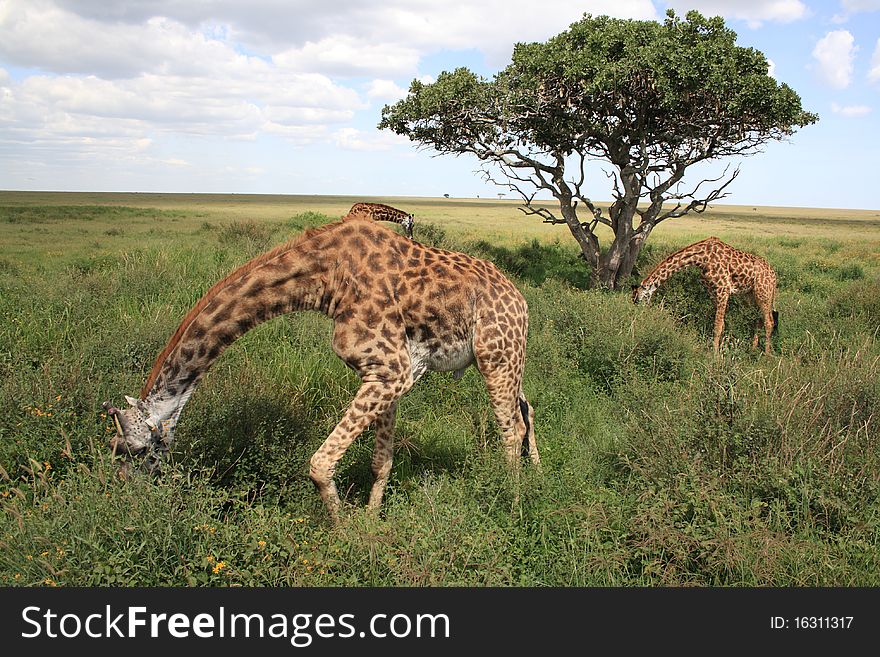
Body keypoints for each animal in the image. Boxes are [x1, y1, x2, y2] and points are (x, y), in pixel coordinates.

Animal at [103, 215, 536, 524]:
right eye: (114, 449)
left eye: (134, 450)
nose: (125, 496)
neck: (326, 278)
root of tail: (519, 296)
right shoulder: (389, 373)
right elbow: (381, 460)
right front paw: (370, 523)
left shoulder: (390, 370)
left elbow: (320, 464)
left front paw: (344, 534)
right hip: (506, 357)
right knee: (525, 408)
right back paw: (537, 475)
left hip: (496, 355)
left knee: (510, 427)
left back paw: (513, 504)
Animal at [628, 237, 780, 354]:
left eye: (640, 300)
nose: (639, 316)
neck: (701, 258)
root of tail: (773, 275)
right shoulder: (712, 291)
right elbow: (721, 325)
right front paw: (719, 350)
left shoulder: (723, 289)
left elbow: (717, 325)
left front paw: (715, 356)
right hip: (750, 295)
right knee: (758, 319)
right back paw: (753, 349)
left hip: (764, 293)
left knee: (769, 321)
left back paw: (766, 355)